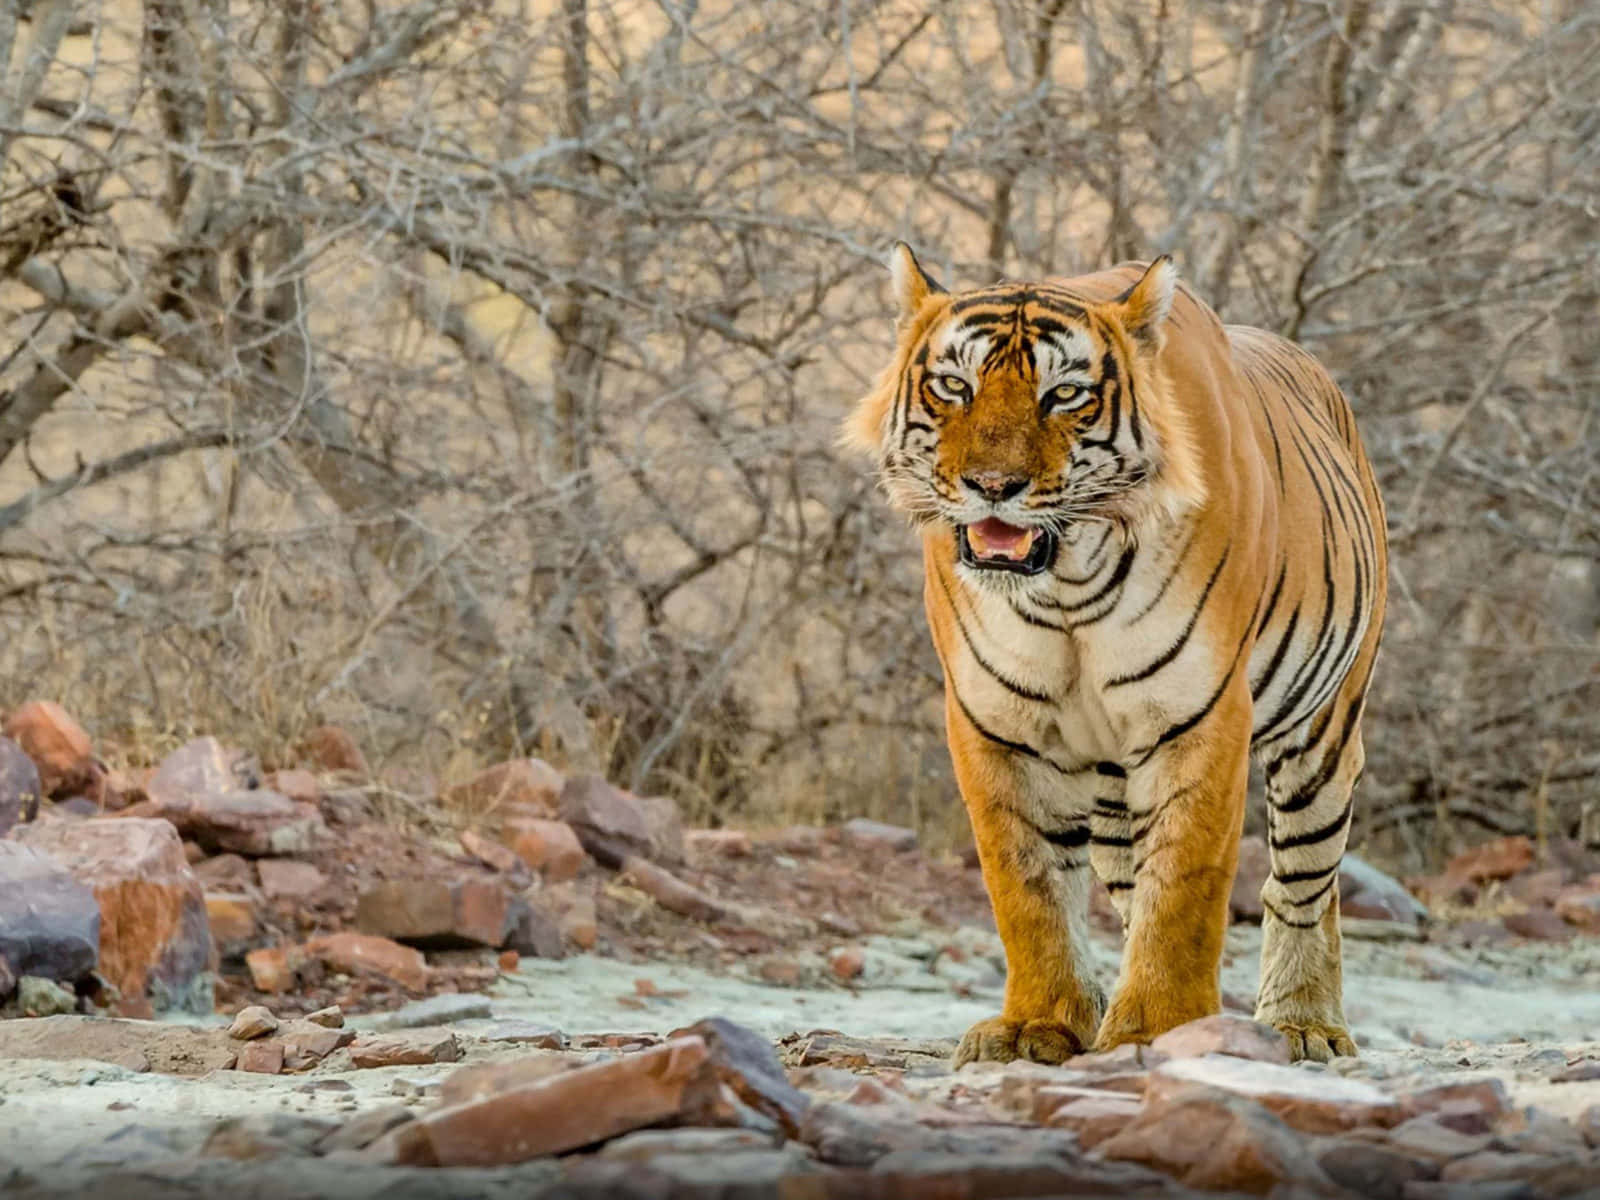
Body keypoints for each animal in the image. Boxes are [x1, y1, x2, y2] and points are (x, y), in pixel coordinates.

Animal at [843, 245, 1388, 1065]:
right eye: (954, 386)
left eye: (1064, 395)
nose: (993, 486)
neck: (1067, 585)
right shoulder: (995, 724)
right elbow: (1028, 888)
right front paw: (1039, 1024)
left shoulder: (1199, 715)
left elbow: (1186, 886)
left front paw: (1158, 1028)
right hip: (1109, 785)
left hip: (1323, 734)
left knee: (1302, 884)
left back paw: (1304, 1023)